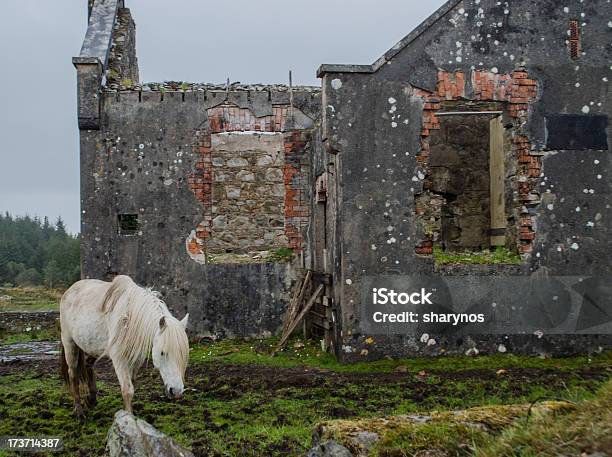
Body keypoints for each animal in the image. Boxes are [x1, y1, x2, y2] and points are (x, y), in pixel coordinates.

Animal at [60, 274, 189, 416]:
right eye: (162, 353)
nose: (176, 391)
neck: (130, 317)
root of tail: (70, 290)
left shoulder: (136, 359)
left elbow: (132, 385)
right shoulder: (119, 359)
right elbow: (127, 391)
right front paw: (128, 417)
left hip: (92, 346)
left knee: (88, 365)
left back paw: (91, 400)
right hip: (69, 344)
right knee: (73, 373)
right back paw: (79, 411)